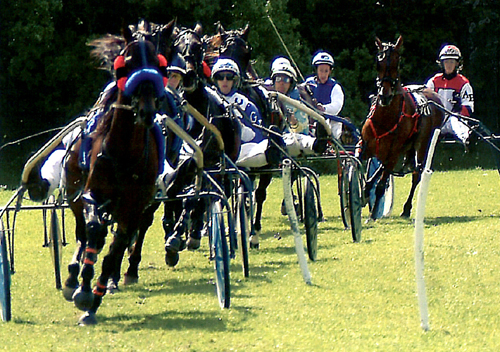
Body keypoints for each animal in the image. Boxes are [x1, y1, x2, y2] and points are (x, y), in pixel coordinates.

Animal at [62, 22, 166, 324]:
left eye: (158, 64)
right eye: (128, 63)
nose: (145, 110)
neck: (124, 152)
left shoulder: (133, 207)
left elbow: (116, 247)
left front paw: (93, 302)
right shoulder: (91, 194)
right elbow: (93, 230)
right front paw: (83, 288)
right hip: (73, 192)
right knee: (83, 232)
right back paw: (73, 278)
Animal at [362, 37, 444, 220]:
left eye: (396, 63)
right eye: (378, 63)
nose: (384, 96)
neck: (386, 116)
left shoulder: (393, 151)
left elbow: (381, 184)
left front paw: (372, 215)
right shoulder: (366, 146)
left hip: (421, 145)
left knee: (416, 175)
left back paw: (406, 209)